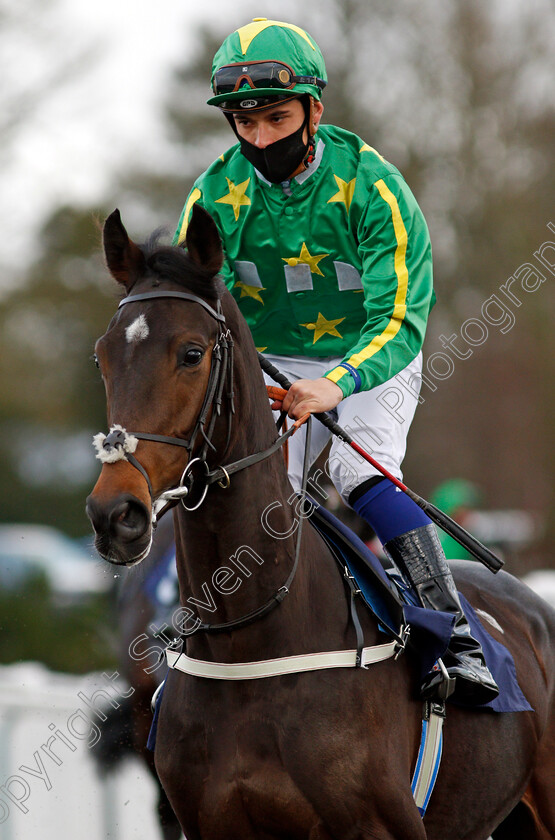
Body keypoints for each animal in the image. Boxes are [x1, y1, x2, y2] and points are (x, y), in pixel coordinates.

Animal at [87, 205, 555, 840]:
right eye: (103, 355)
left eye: (191, 353)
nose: (115, 514)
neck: (250, 640)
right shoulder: (206, 821)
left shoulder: (379, 826)